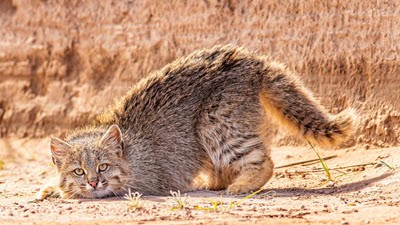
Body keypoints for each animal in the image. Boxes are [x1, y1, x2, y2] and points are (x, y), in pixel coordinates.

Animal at [38, 44, 356, 200]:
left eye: (103, 167)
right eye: (79, 171)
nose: (93, 181)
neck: (129, 152)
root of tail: (253, 60)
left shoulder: (148, 181)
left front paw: (64, 192)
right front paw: (53, 187)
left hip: (214, 122)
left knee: (262, 160)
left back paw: (241, 186)